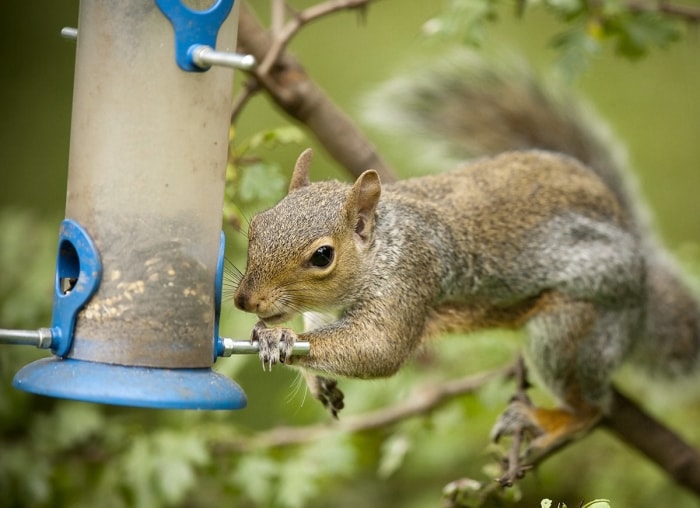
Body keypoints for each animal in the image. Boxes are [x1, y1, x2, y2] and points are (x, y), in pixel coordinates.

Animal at [231, 51, 700, 456]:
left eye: (322, 256)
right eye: (257, 225)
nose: (245, 300)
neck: (382, 247)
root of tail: (642, 280)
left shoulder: (410, 277)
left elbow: (380, 349)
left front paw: (280, 338)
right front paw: (315, 379)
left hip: (572, 331)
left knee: (593, 410)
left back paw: (548, 421)